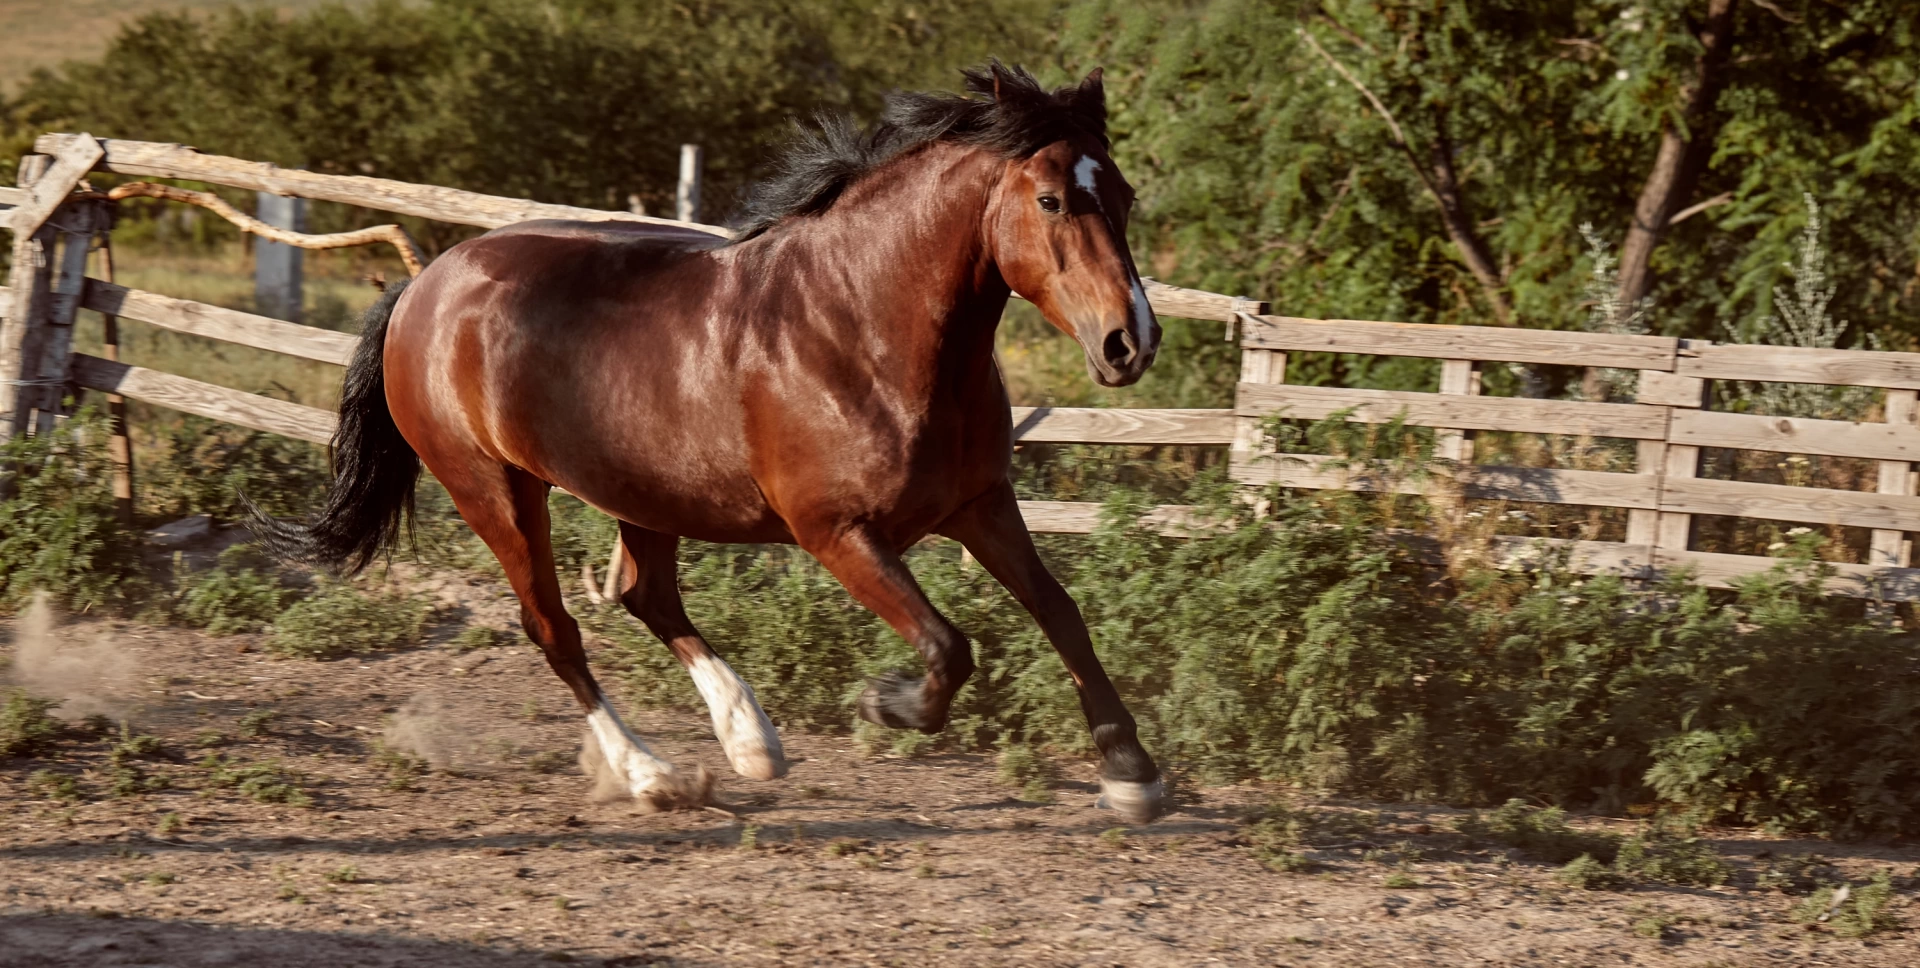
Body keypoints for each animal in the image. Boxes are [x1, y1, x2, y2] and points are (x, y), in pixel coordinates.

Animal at [255, 62, 1167, 825]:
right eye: (1051, 201)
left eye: (1121, 193)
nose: (1131, 342)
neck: (864, 326)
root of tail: (425, 285)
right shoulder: (838, 533)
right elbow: (950, 645)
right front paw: (885, 704)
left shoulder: (979, 504)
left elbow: (1062, 613)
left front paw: (1131, 774)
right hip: (495, 490)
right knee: (554, 626)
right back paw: (652, 774)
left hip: (640, 489)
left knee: (645, 596)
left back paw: (749, 743)